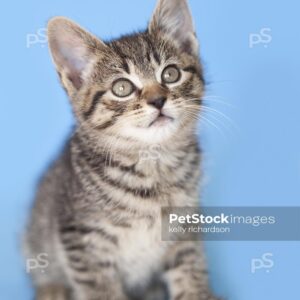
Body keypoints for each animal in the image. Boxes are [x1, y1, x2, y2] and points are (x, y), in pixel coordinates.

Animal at [24, 0, 217, 300]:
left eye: (170, 74)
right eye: (122, 88)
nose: (158, 100)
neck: (153, 167)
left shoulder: (185, 229)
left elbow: (191, 273)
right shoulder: (81, 242)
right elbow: (101, 291)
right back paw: (52, 289)